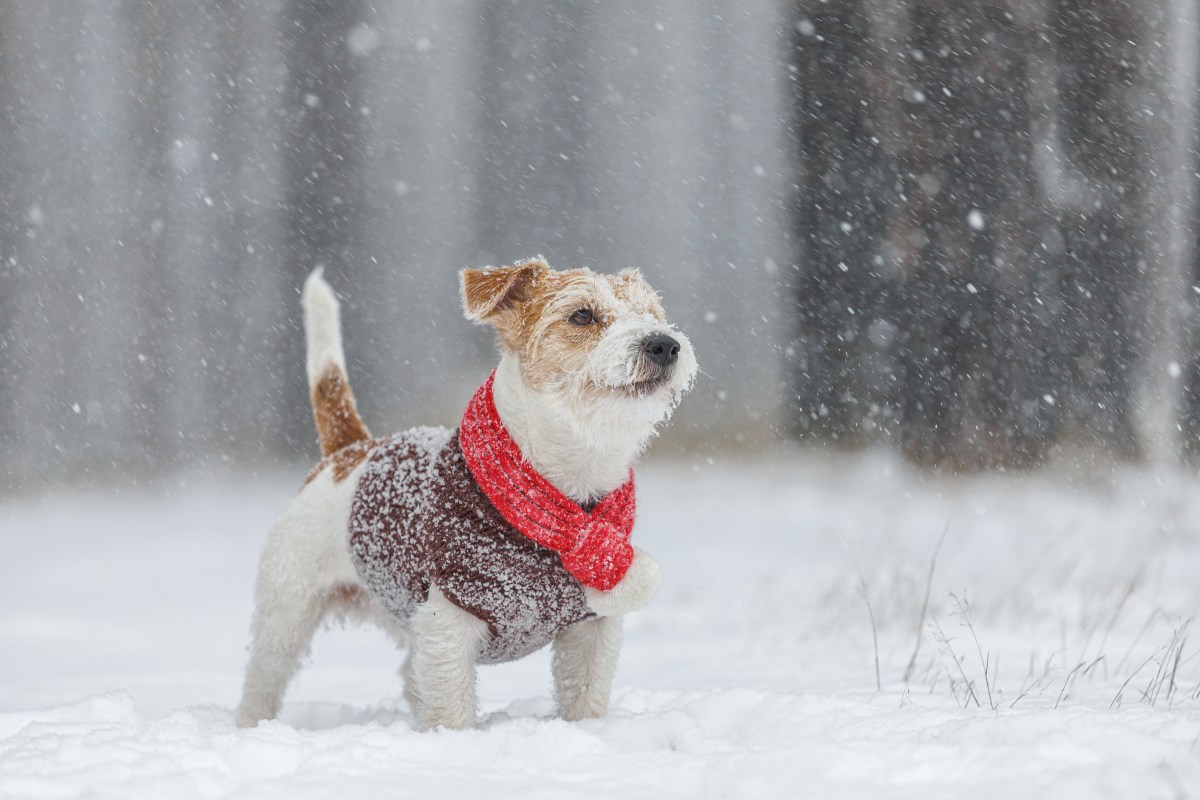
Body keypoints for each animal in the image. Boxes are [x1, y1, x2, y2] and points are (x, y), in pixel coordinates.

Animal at [235, 257, 700, 734]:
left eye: (651, 312)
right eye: (582, 315)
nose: (664, 344)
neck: (565, 493)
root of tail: (350, 450)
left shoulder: (593, 626)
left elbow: (583, 697)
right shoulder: (450, 618)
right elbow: (451, 707)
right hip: (288, 607)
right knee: (264, 678)